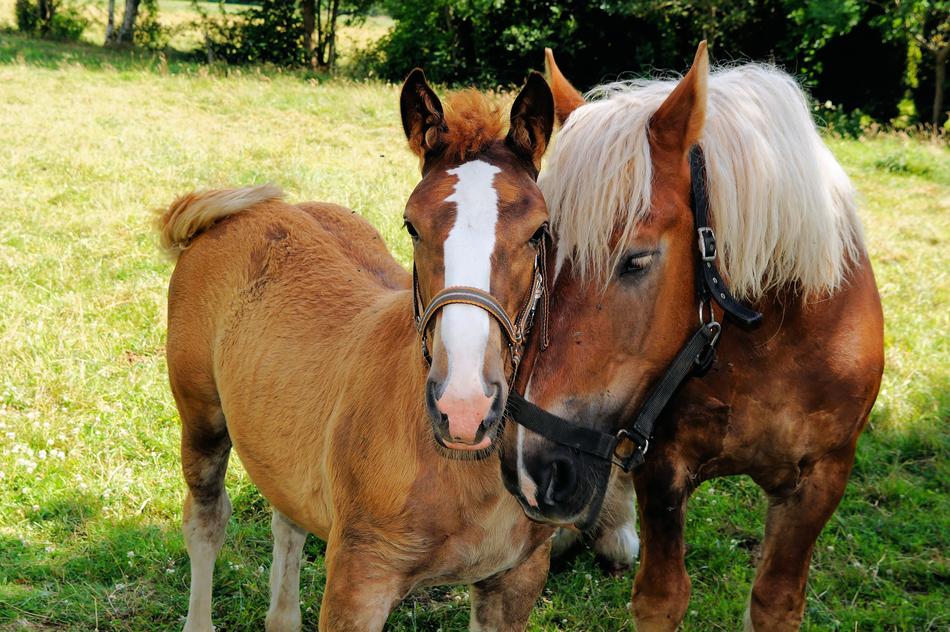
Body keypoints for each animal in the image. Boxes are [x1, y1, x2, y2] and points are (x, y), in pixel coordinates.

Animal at [157, 70, 561, 631]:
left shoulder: (517, 578)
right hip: (201, 418)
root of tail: (239, 212)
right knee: (206, 521)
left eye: (539, 230)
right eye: (412, 225)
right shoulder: (358, 581)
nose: (464, 407)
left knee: (287, 517)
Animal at [501, 43, 884, 631]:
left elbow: (775, 602)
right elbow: (662, 596)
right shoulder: (660, 463)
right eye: (540, 248)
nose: (529, 466)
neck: (768, 341)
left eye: (636, 260)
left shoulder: (822, 479)